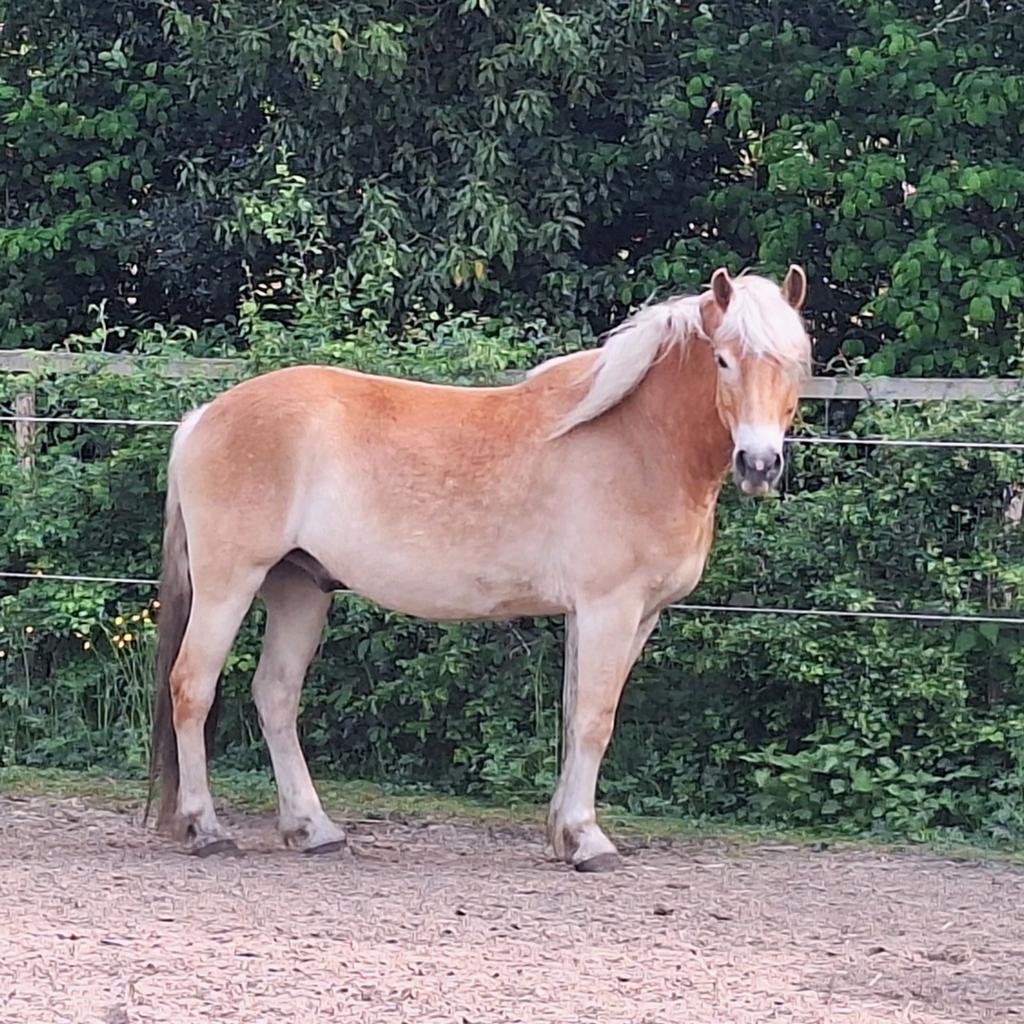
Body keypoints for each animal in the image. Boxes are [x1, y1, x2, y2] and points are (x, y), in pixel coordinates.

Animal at [148, 264, 811, 872]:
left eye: (795, 364)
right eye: (723, 360)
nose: (759, 464)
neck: (636, 440)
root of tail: (204, 416)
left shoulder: (627, 615)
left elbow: (575, 715)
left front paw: (563, 833)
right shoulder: (608, 608)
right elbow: (595, 720)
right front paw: (588, 841)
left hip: (300, 588)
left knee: (276, 695)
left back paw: (314, 830)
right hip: (229, 583)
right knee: (193, 687)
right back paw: (205, 829)